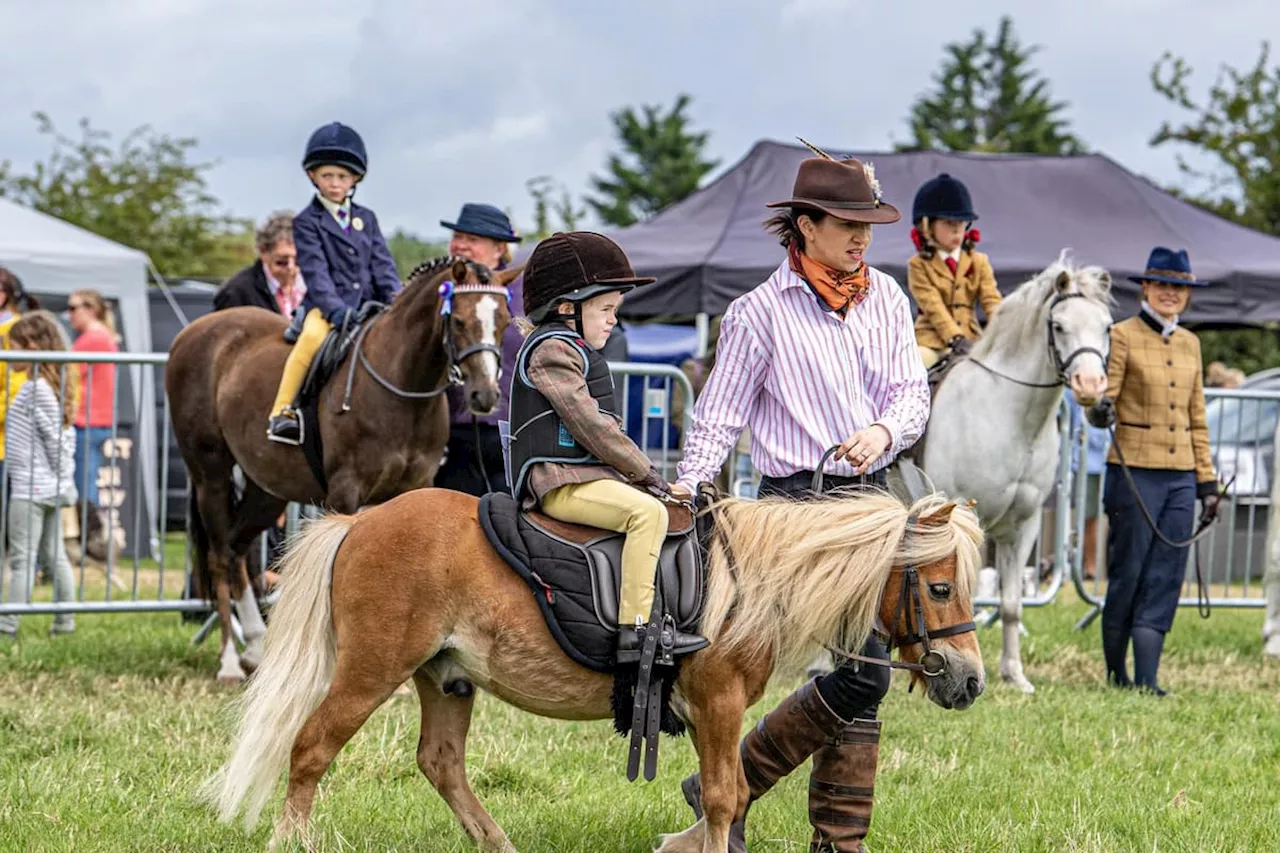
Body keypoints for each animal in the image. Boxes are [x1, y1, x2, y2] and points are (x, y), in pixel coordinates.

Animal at [166, 253, 519, 686]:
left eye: (504, 320)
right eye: (459, 321)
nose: (485, 395)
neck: (402, 389)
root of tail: (196, 331)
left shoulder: (413, 487)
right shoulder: (345, 491)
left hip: (265, 489)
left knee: (238, 550)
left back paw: (257, 646)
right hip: (210, 475)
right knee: (219, 555)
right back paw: (230, 661)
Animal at [199, 481, 983, 845]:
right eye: (941, 587)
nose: (970, 678)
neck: (746, 580)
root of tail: (360, 520)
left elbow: (730, 792)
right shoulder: (720, 703)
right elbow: (724, 796)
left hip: (446, 678)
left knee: (440, 763)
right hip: (371, 670)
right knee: (311, 748)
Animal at [921, 253, 1111, 691]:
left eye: (1107, 326)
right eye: (1059, 326)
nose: (1091, 387)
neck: (1009, 415)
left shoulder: (1023, 526)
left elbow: (1010, 604)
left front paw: (1014, 675)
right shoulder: (966, 518)